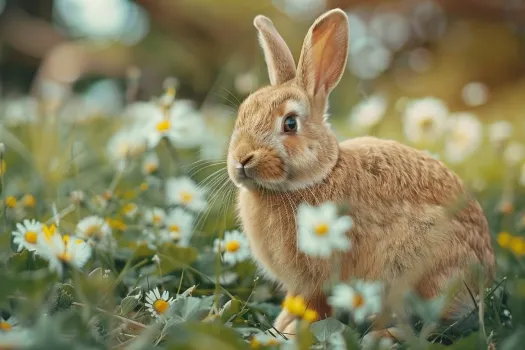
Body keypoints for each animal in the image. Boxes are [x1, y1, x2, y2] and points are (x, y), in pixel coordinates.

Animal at [226, 8, 496, 340]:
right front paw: (277, 328)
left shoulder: (319, 278)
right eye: (243, 113)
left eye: (290, 123)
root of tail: (484, 272)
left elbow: (314, 308)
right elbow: (293, 304)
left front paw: (288, 334)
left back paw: (383, 337)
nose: (241, 159)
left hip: (419, 270)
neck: (317, 176)